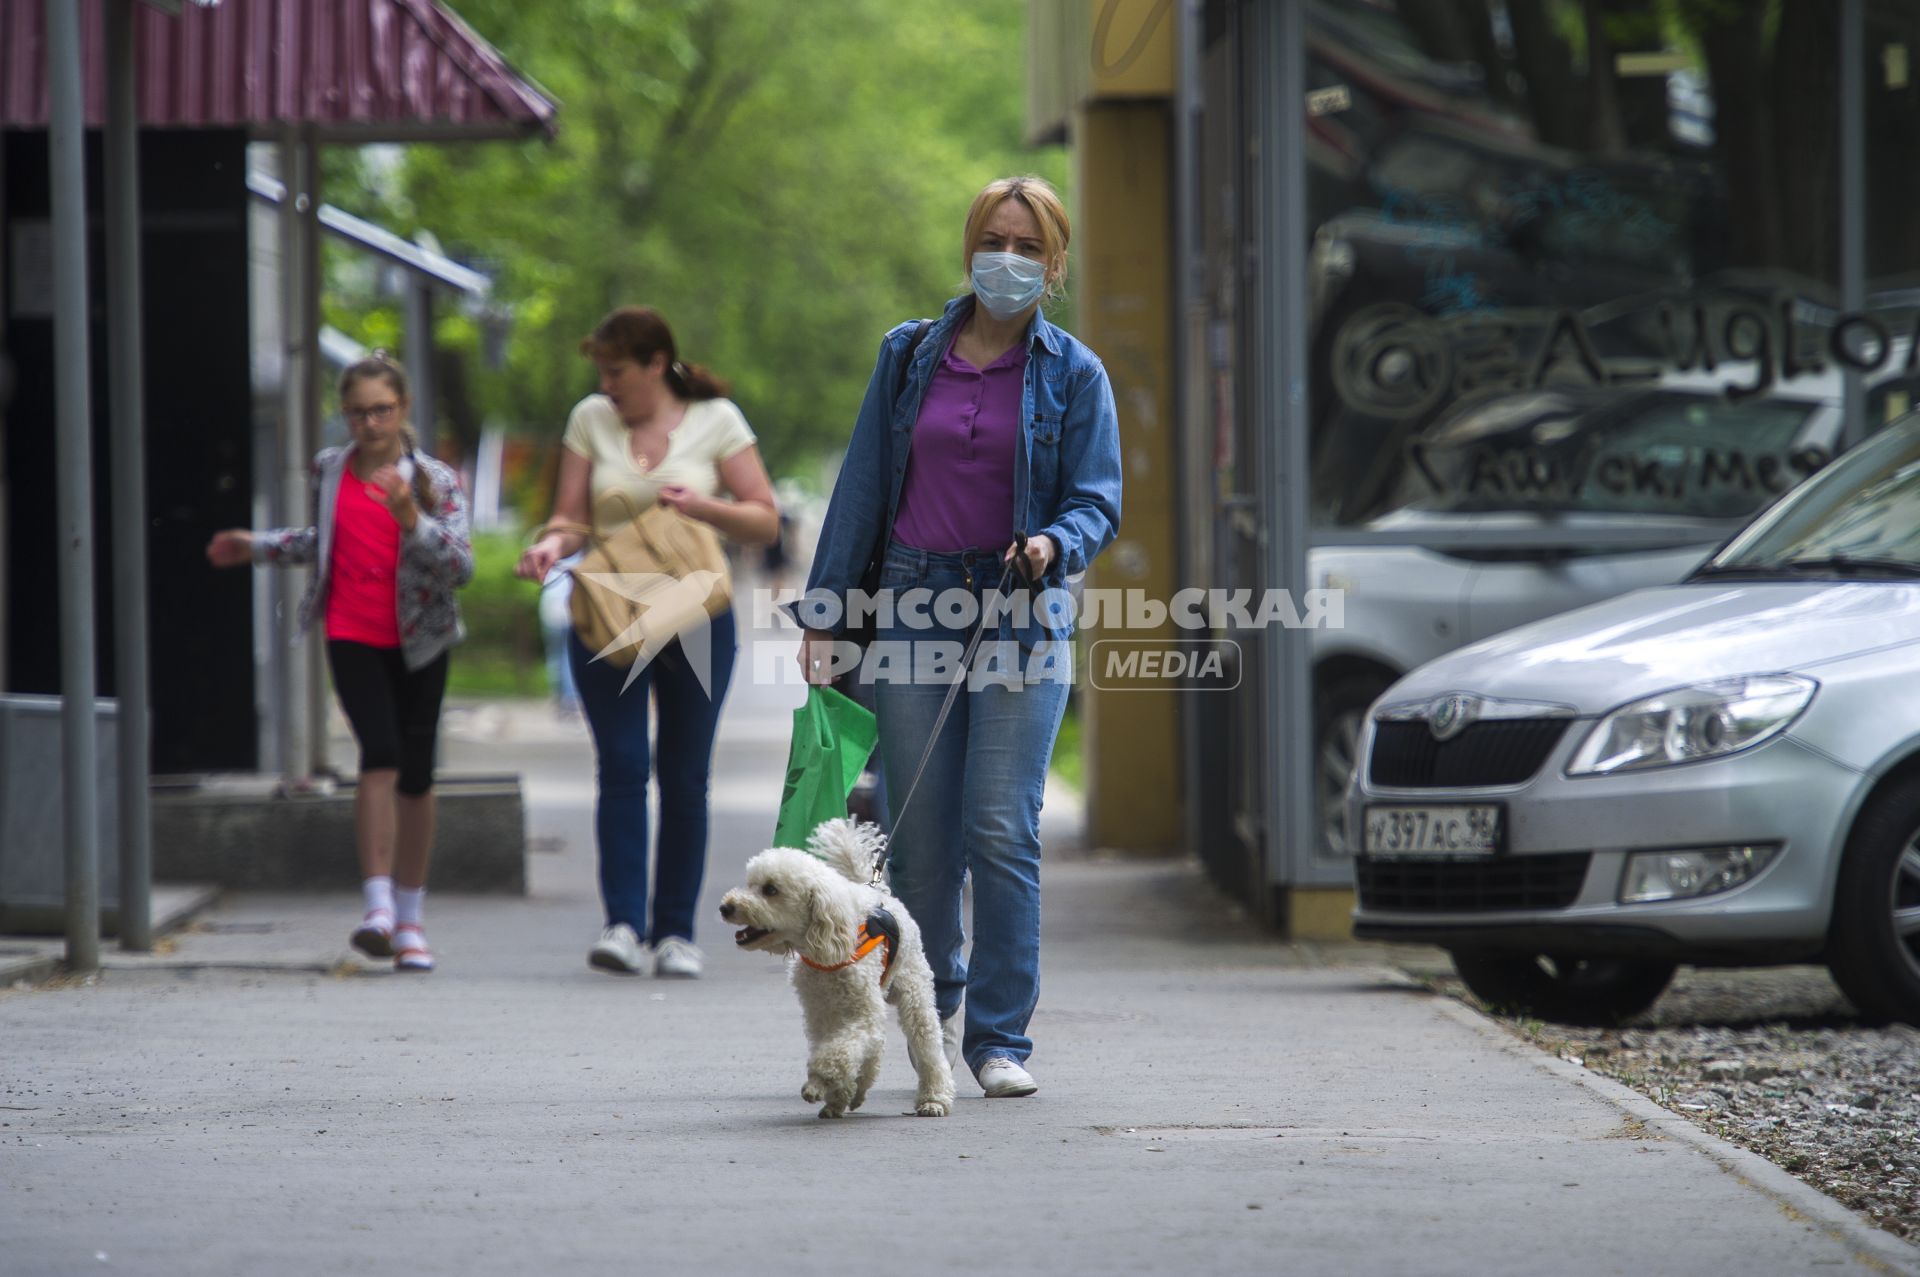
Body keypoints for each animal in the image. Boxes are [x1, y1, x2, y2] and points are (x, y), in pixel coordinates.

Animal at [718, 821, 956, 1113]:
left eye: (771, 889)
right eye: (750, 884)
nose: (726, 907)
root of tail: (881, 893)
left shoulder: (863, 1014)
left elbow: (839, 1050)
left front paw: (821, 1076)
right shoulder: (821, 1011)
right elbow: (837, 1045)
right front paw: (833, 1089)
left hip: (914, 991)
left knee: (926, 1045)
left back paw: (934, 1098)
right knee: (876, 1048)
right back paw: (852, 1092)